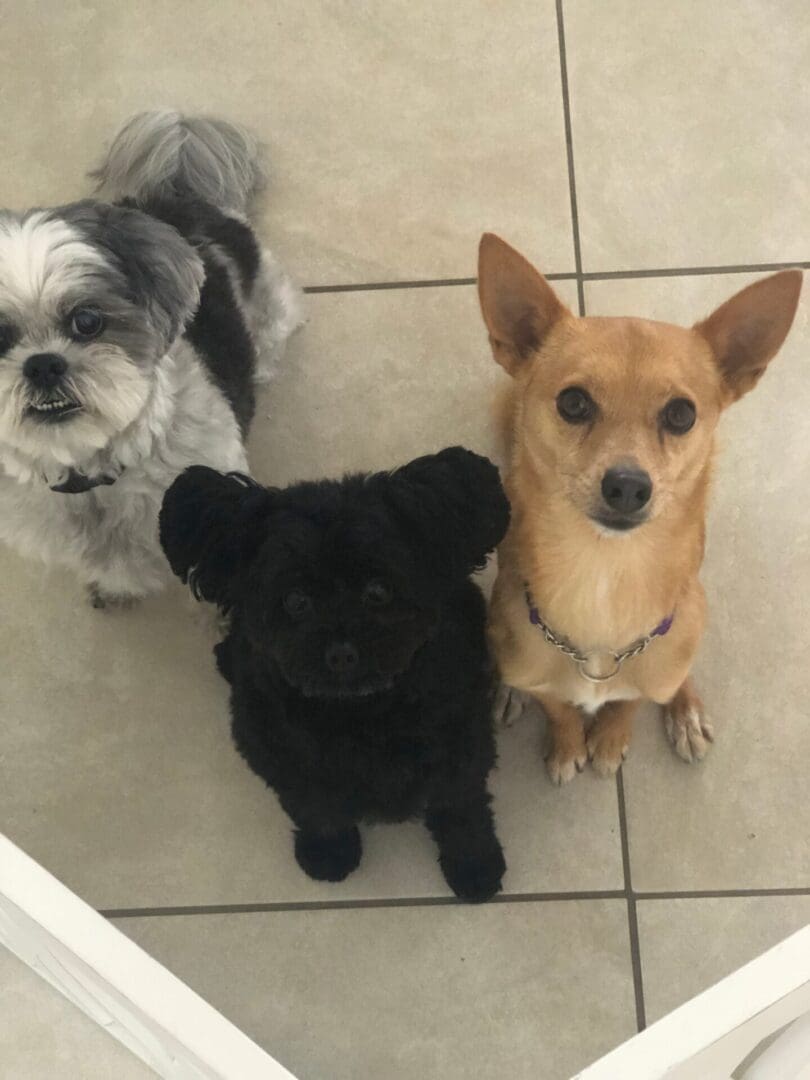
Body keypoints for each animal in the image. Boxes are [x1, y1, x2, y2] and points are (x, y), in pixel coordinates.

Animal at [159, 447, 509, 902]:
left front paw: (474, 865)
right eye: (295, 601)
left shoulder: (462, 747)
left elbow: (461, 807)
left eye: (378, 591)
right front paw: (328, 854)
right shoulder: (282, 759)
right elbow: (317, 809)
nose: (342, 653)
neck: (359, 714)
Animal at [479, 234, 803, 786]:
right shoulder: (543, 675)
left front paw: (610, 740)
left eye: (681, 414)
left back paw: (685, 709)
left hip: (693, 603)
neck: (605, 573)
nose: (628, 486)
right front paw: (567, 744)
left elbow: (628, 703)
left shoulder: (650, 667)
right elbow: (558, 709)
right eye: (573, 403)